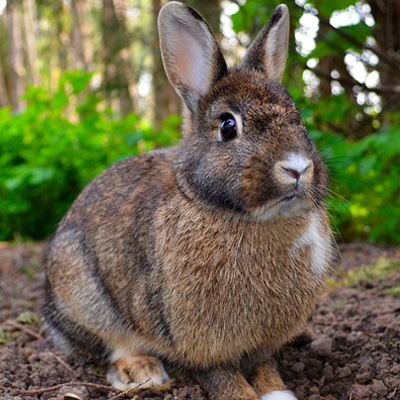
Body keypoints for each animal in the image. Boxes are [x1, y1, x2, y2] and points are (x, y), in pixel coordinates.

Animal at [43, 3, 332, 400]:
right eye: (228, 126)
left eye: (298, 119)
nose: (297, 167)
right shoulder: (200, 342)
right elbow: (221, 376)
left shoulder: (261, 346)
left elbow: (264, 366)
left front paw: (278, 392)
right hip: (82, 292)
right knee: (111, 344)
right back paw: (142, 372)